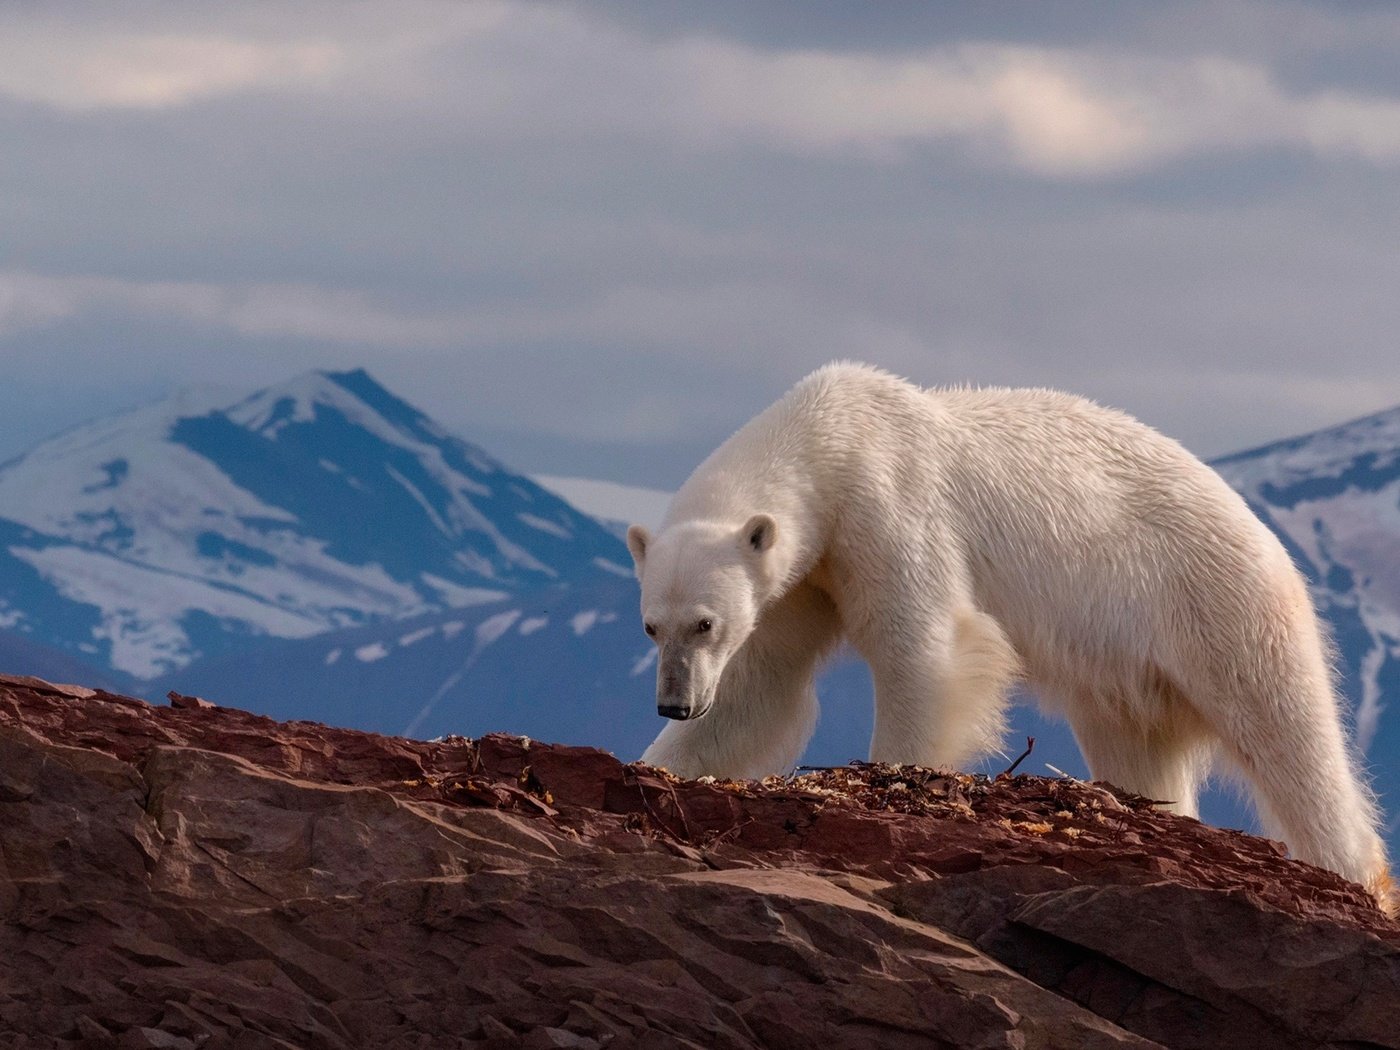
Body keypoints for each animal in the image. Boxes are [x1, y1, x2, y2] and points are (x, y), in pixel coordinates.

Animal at [630, 364, 1394, 918]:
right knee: (1137, 744)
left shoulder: (889, 507)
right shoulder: (802, 577)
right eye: (652, 625)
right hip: (1128, 667)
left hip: (1217, 604)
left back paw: (1350, 870)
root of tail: (1259, 527)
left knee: (1285, 734)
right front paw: (662, 767)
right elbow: (760, 689)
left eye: (705, 622)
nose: (673, 703)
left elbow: (927, 650)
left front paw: (891, 776)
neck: (832, 437)